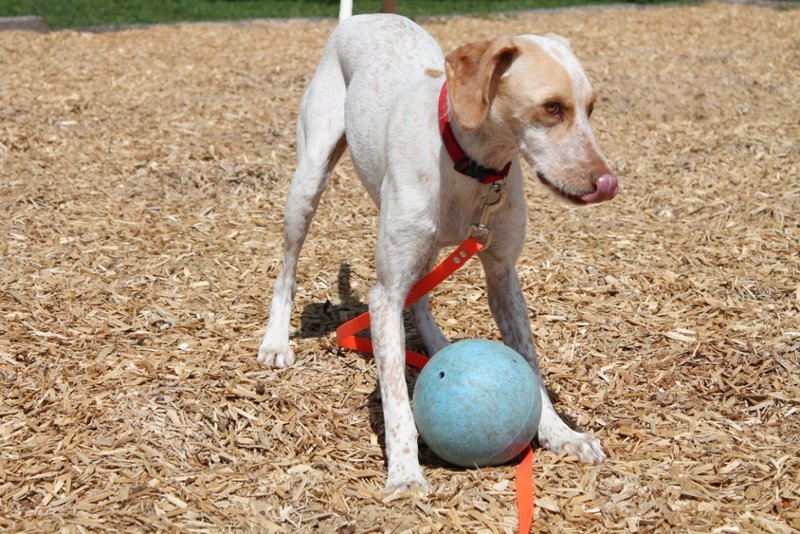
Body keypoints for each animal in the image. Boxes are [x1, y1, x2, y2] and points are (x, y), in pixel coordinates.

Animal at [256, 2, 620, 496]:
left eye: (591, 108)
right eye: (551, 108)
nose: (608, 183)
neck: (469, 165)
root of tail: (355, 20)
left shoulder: (503, 275)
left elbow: (528, 360)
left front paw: (561, 433)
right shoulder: (384, 293)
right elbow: (395, 396)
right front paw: (405, 471)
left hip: (420, 243)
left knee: (421, 297)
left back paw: (436, 343)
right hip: (308, 182)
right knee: (288, 267)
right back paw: (275, 340)